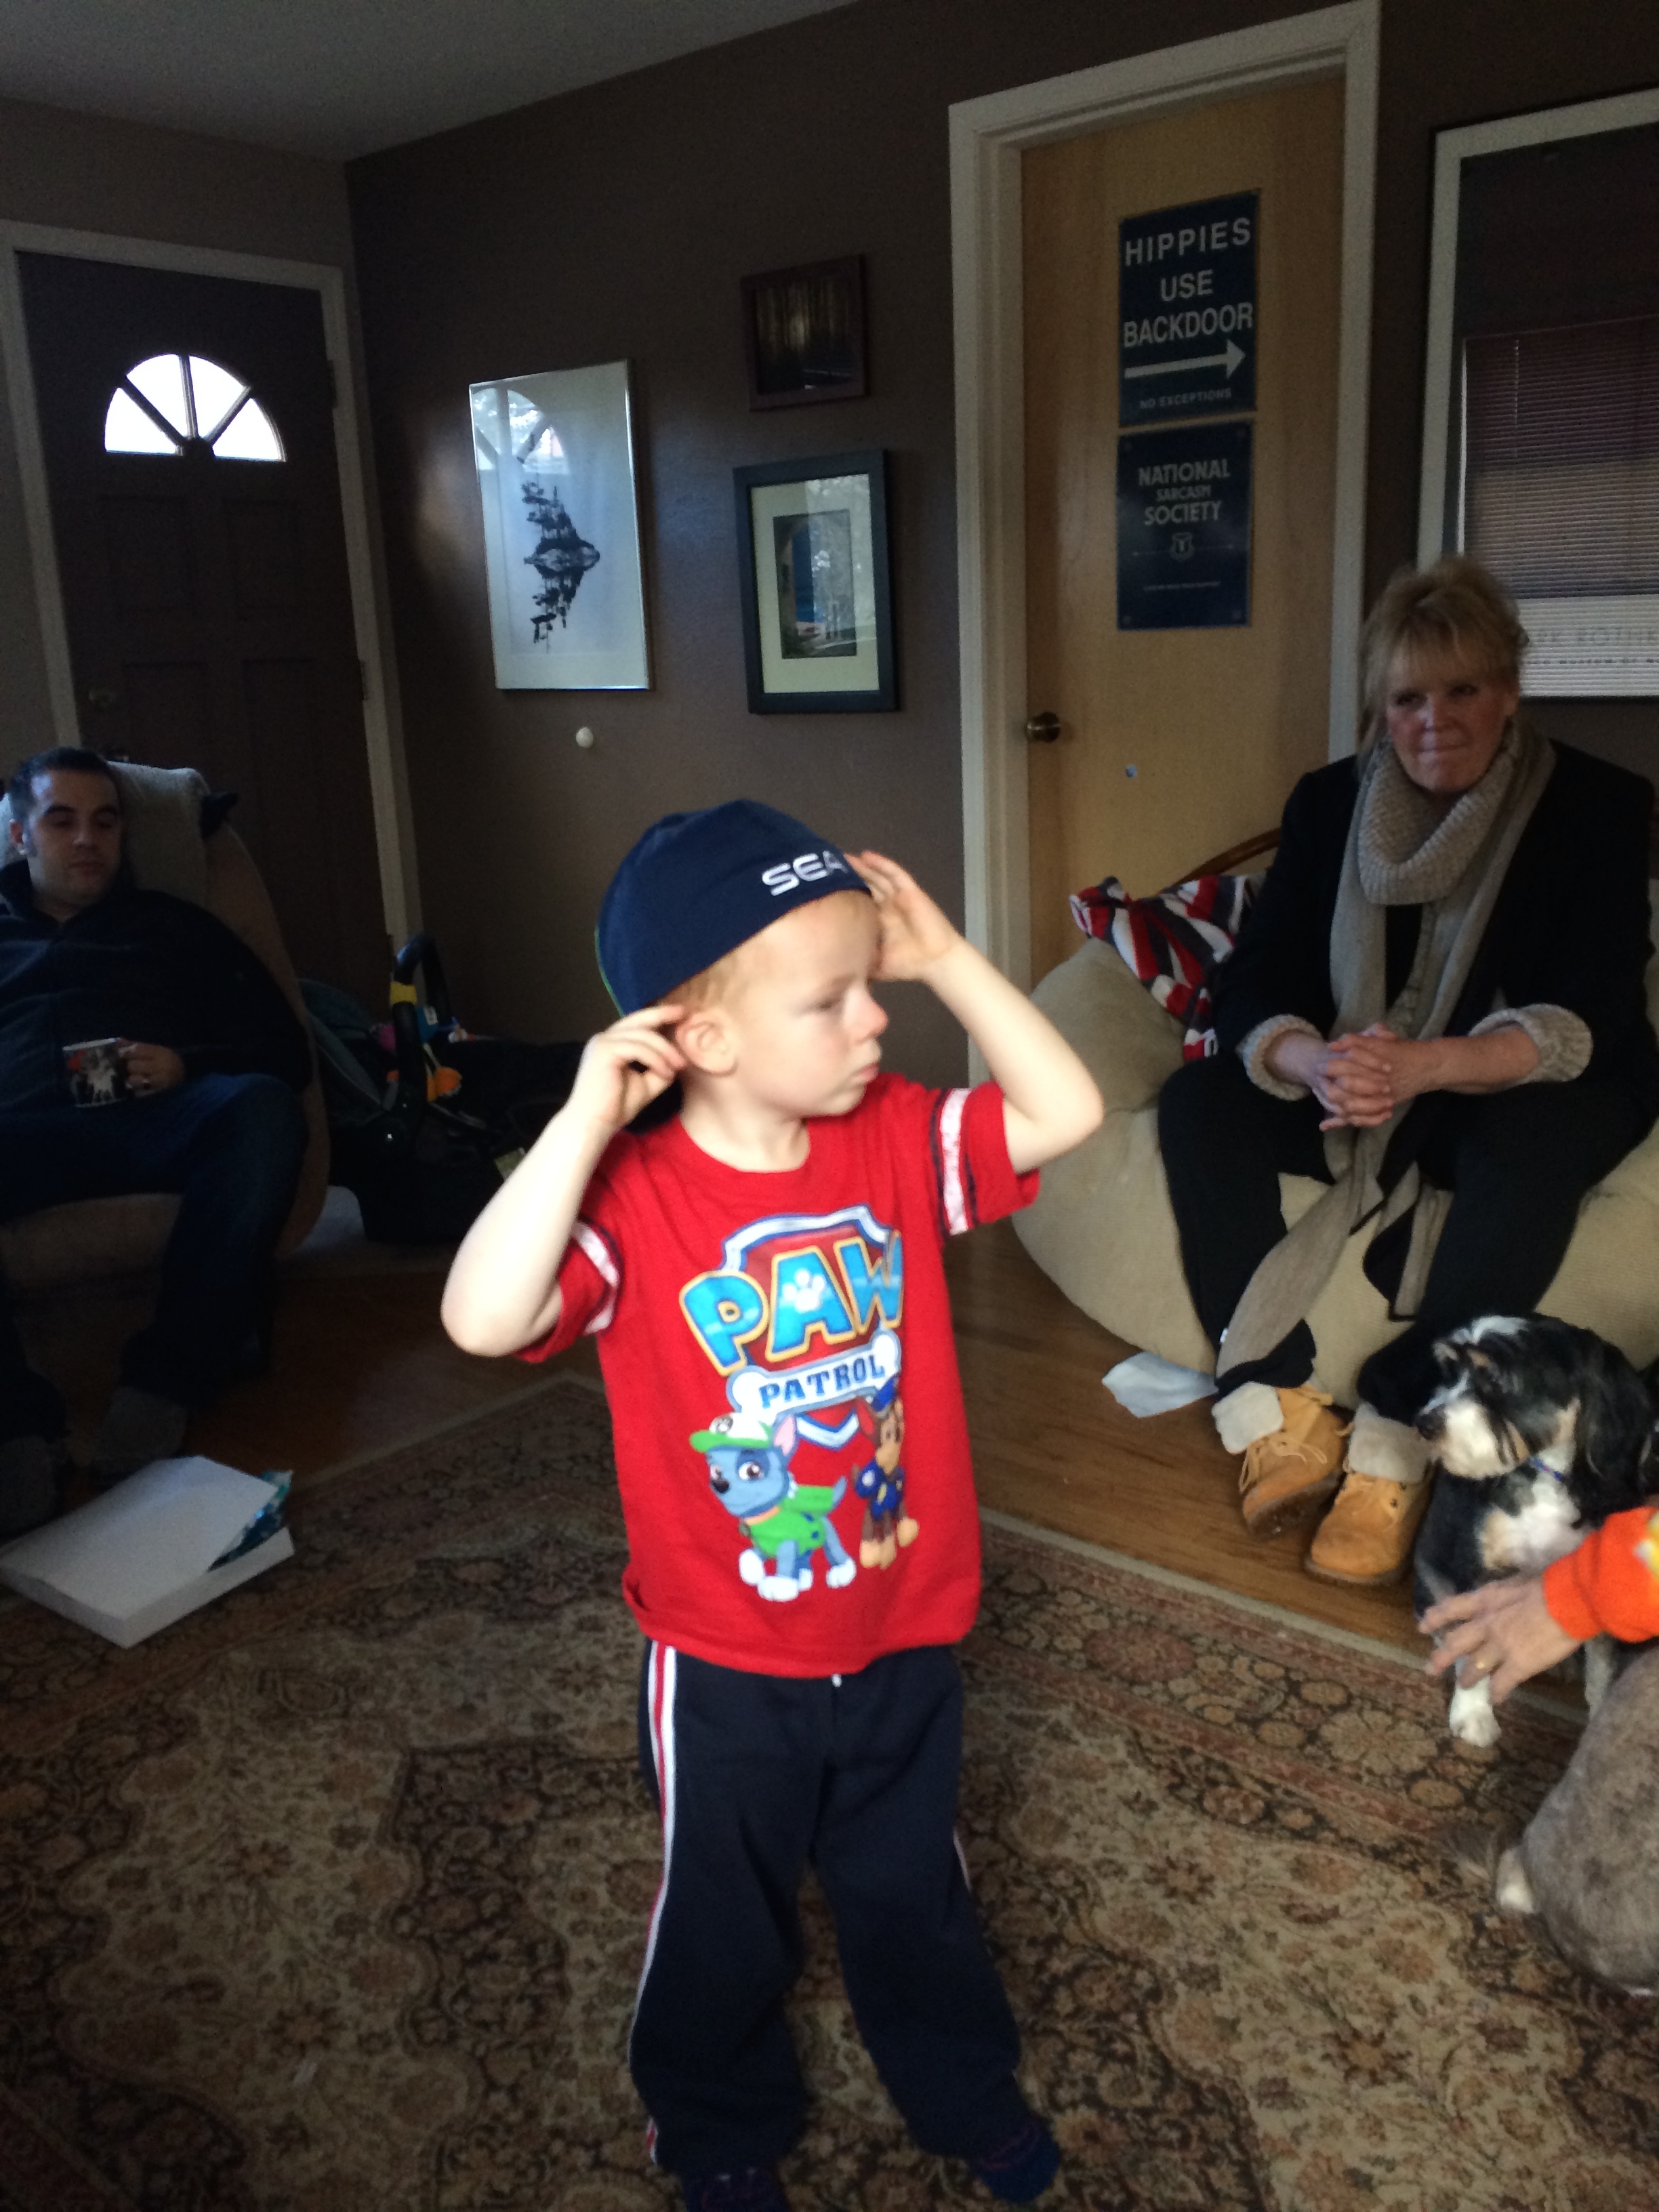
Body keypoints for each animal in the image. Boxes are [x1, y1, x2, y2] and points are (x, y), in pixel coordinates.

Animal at [1414, 1314, 1657, 1748]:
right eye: (1452, 1372)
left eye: (1495, 1381)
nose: (1424, 1423)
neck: (1549, 1477)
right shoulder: (1481, 1572)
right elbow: (1473, 1652)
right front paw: (1472, 1712)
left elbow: (1602, 1667)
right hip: (1430, 1573)